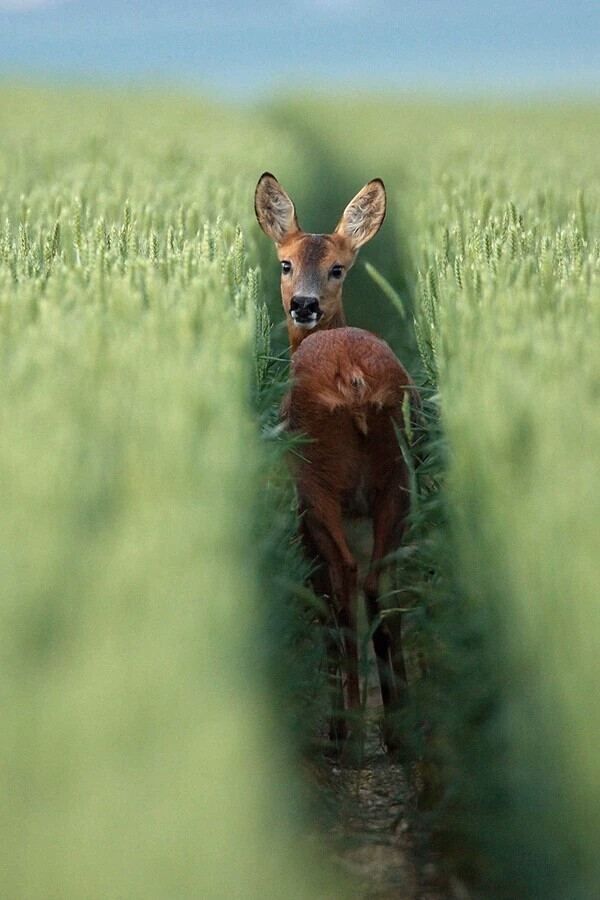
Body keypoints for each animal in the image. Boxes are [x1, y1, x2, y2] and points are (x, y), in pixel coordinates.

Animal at [255, 171, 420, 760]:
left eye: (337, 268)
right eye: (285, 263)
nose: (304, 304)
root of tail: (353, 380)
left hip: (316, 482)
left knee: (345, 584)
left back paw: (343, 729)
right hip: (396, 480)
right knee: (380, 585)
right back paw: (395, 726)